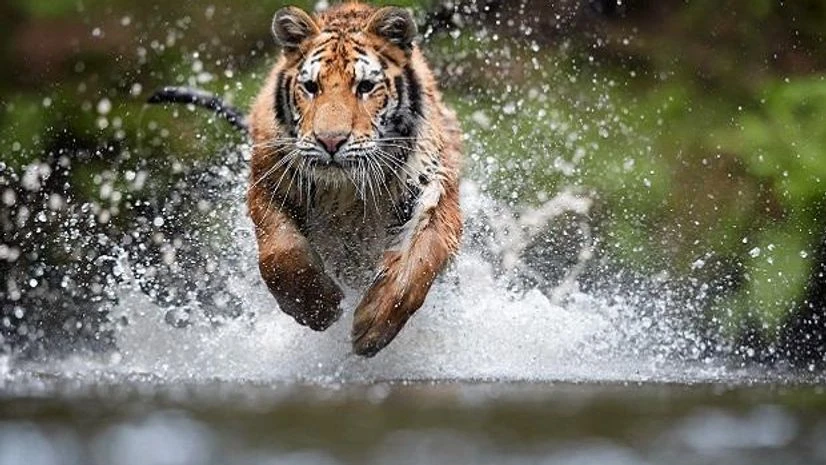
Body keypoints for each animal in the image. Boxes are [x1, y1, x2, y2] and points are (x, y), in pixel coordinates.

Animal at [245, 1, 463, 357]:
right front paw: (318, 308)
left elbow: (418, 261)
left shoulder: (435, 190)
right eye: (311, 87)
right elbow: (280, 255)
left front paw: (371, 327)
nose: (330, 141)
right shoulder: (267, 182)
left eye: (364, 87)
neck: (344, 192)